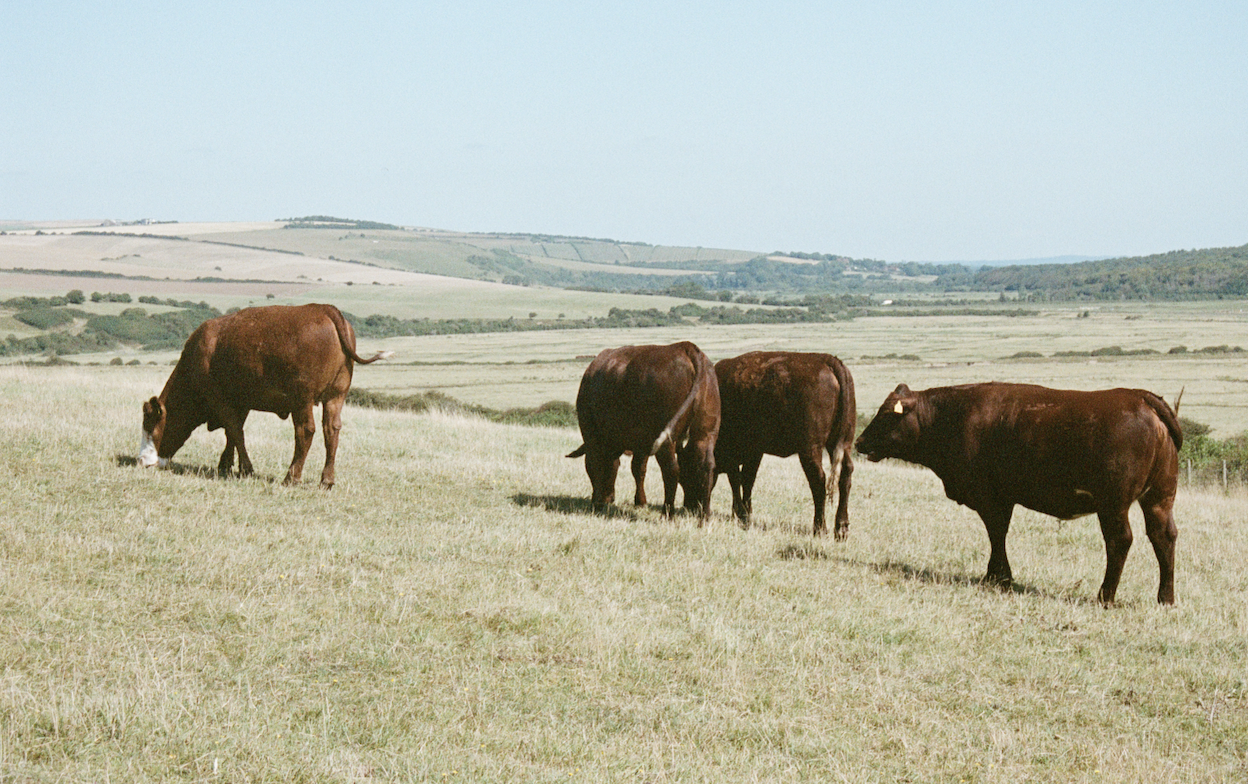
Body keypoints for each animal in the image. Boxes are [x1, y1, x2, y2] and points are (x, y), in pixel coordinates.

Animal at [139, 303, 391, 488]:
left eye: (151, 428)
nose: (142, 461)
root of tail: (324, 309)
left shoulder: (220, 399)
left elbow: (235, 431)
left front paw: (246, 469)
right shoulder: (240, 403)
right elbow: (232, 434)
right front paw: (226, 465)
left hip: (302, 399)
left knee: (305, 431)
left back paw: (291, 477)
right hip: (336, 396)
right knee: (332, 430)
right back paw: (326, 480)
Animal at [566, 342, 720, 520]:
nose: (608, 497)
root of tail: (685, 347)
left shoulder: (591, 433)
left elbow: (596, 464)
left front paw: (597, 504)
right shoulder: (641, 443)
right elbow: (638, 469)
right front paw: (640, 501)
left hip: (666, 439)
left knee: (671, 471)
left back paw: (667, 513)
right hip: (706, 432)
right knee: (707, 466)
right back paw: (705, 514)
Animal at [713, 351, 856, 539]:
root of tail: (826, 360)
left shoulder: (733, 450)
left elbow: (736, 481)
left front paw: (741, 514)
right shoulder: (755, 452)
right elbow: (747, 480)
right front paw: (745, 515)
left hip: (810, 449)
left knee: (818, 480)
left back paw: (819, 528)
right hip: (841, 444)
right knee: (845, 475)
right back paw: (841, 528)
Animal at [855, 382, 1181, 605]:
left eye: (886, 414)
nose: (858, 441)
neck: (952, 416)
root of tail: (1138, 397)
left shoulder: (989, 496)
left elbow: (996, 533)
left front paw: (998, 577)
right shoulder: (1003, 497)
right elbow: (999, 534)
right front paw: (997, 576)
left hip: (1113, 504)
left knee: (1120, 540)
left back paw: (1105, 596)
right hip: (1160, 497)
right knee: (1163, 536)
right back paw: (1165, 598)